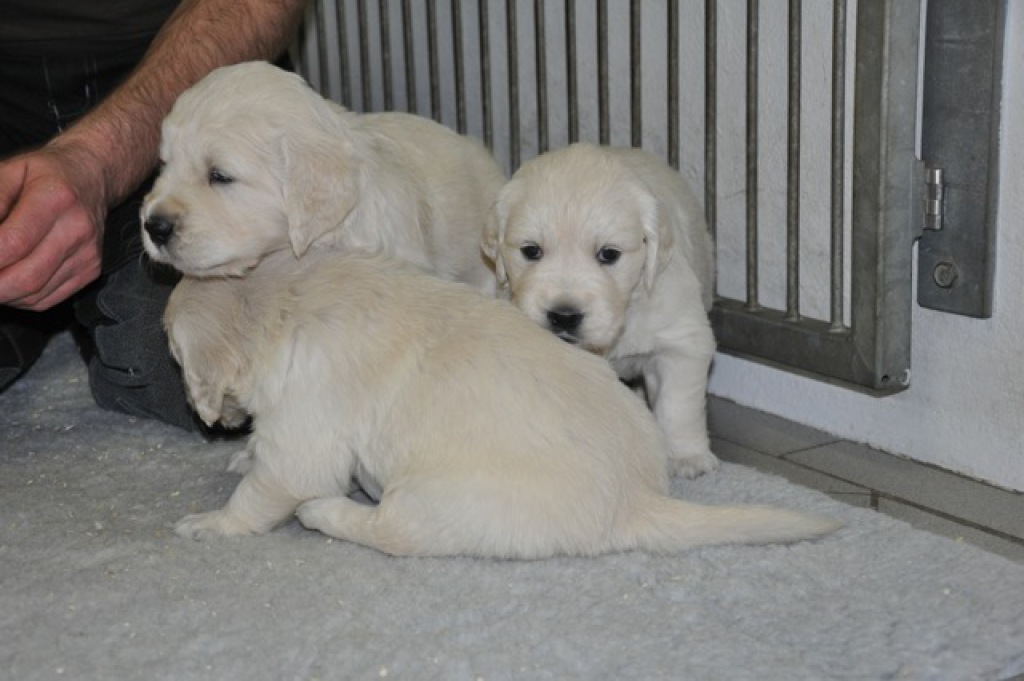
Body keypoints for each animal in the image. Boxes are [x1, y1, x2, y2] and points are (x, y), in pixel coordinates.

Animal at [165, 249, 838, 558]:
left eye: (172, 351)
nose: (203, 414)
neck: (285, 298)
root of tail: (635, 499)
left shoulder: (306, 419)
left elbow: (273, 483)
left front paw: (214, 521)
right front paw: (241, 456)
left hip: (432, 499)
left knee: (387, 532)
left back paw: (325, 512)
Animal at [484, 143, 718, 479]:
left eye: (609, 254)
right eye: (531, 250)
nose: (564, 316)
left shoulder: (682, 341)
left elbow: (678, 406)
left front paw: (688, 457)